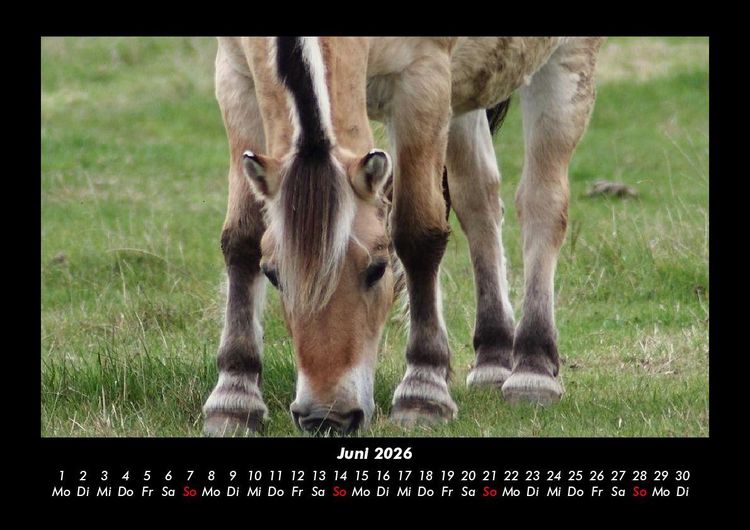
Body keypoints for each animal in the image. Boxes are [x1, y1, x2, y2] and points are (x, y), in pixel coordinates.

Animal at [202, 37, 603, 435]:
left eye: (377, 269)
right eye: (273, 275)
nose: (326, 417)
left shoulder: (424, 81)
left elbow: (418, 236)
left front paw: (423, 390)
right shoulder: (235, 79)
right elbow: (242, 239)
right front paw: (234, 398)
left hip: (566, 65)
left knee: (541, 204)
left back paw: (533, 370)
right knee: (478, 199)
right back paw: (492, 358)